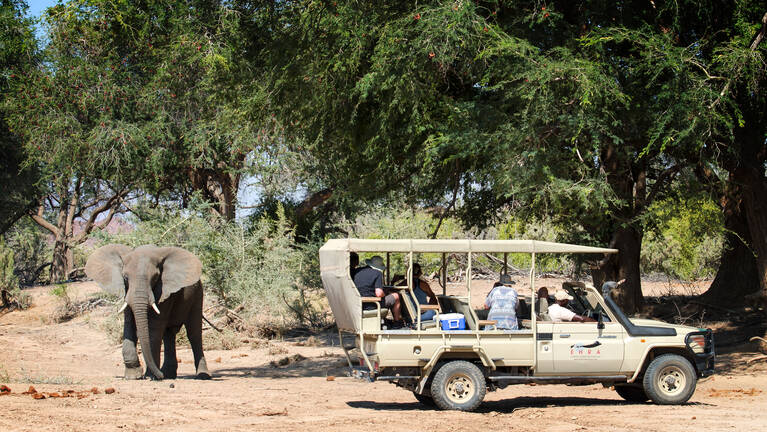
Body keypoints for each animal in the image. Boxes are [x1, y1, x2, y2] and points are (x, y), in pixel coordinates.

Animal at [86, 245, 212, 380]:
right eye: (125, 277)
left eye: (156, 278)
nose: (160, 376)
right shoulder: (127, 292)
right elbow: (129, 324)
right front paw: (133, 376)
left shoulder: (163, 292)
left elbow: (154, 328)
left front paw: (150, 376)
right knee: (169, 334)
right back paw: (168, 374)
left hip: (198, 294)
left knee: (194, 333)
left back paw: (202, 376)